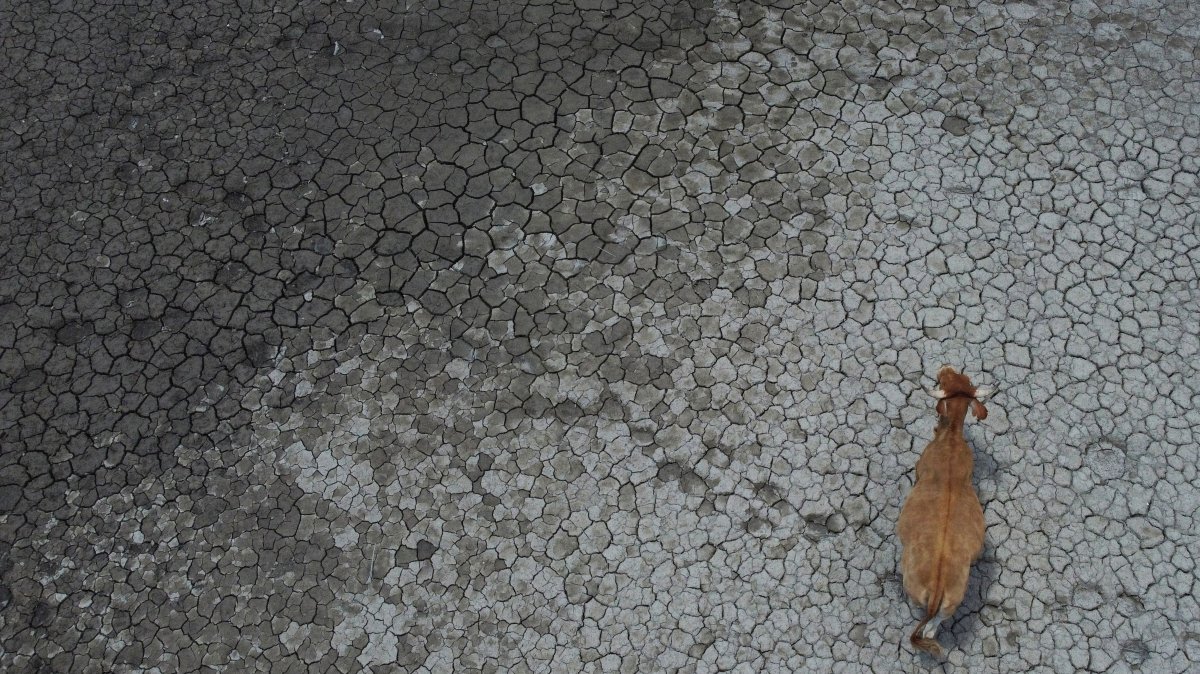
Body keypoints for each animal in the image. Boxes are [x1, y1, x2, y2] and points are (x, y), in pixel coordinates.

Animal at [897, 366, 991, 656]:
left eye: (943, 380)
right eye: (960, 378)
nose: (944, 367)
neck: (951, 439)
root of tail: (939, 587)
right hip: (951, 604)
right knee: (932, 628)